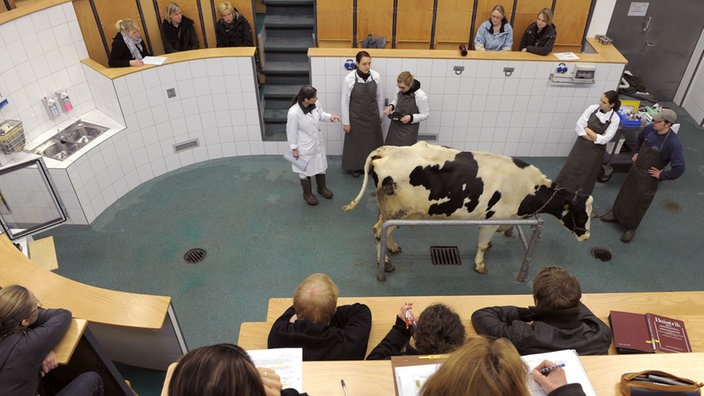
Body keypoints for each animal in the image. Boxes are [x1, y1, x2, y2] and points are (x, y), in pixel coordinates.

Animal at [344, 142, 592, 276]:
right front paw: (480, 264)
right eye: (579, 213)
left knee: (386, 228)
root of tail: (387, 150)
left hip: (396, 210)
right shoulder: (490, 219)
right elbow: (482, 244)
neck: (525, 187)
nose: (586, 236)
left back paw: (392, 248)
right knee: (379, 231)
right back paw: (384, 263)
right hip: (399, 210)